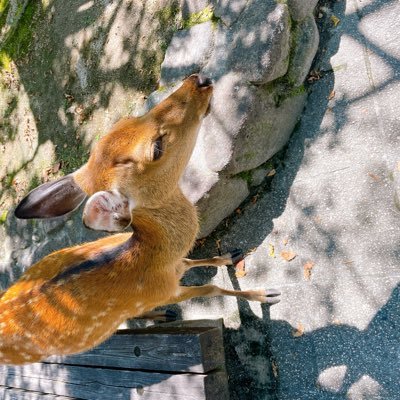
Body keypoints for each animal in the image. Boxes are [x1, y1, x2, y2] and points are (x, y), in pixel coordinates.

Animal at [1, 75, 280, 366]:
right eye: (156, 148)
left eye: (126, 120)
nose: (200, 80)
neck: (154, 263)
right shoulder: (168, 291)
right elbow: (212, 288)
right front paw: (265, 294)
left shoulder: (176, 268)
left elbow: (194, 262)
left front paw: (230, 255)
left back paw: (165, 315)